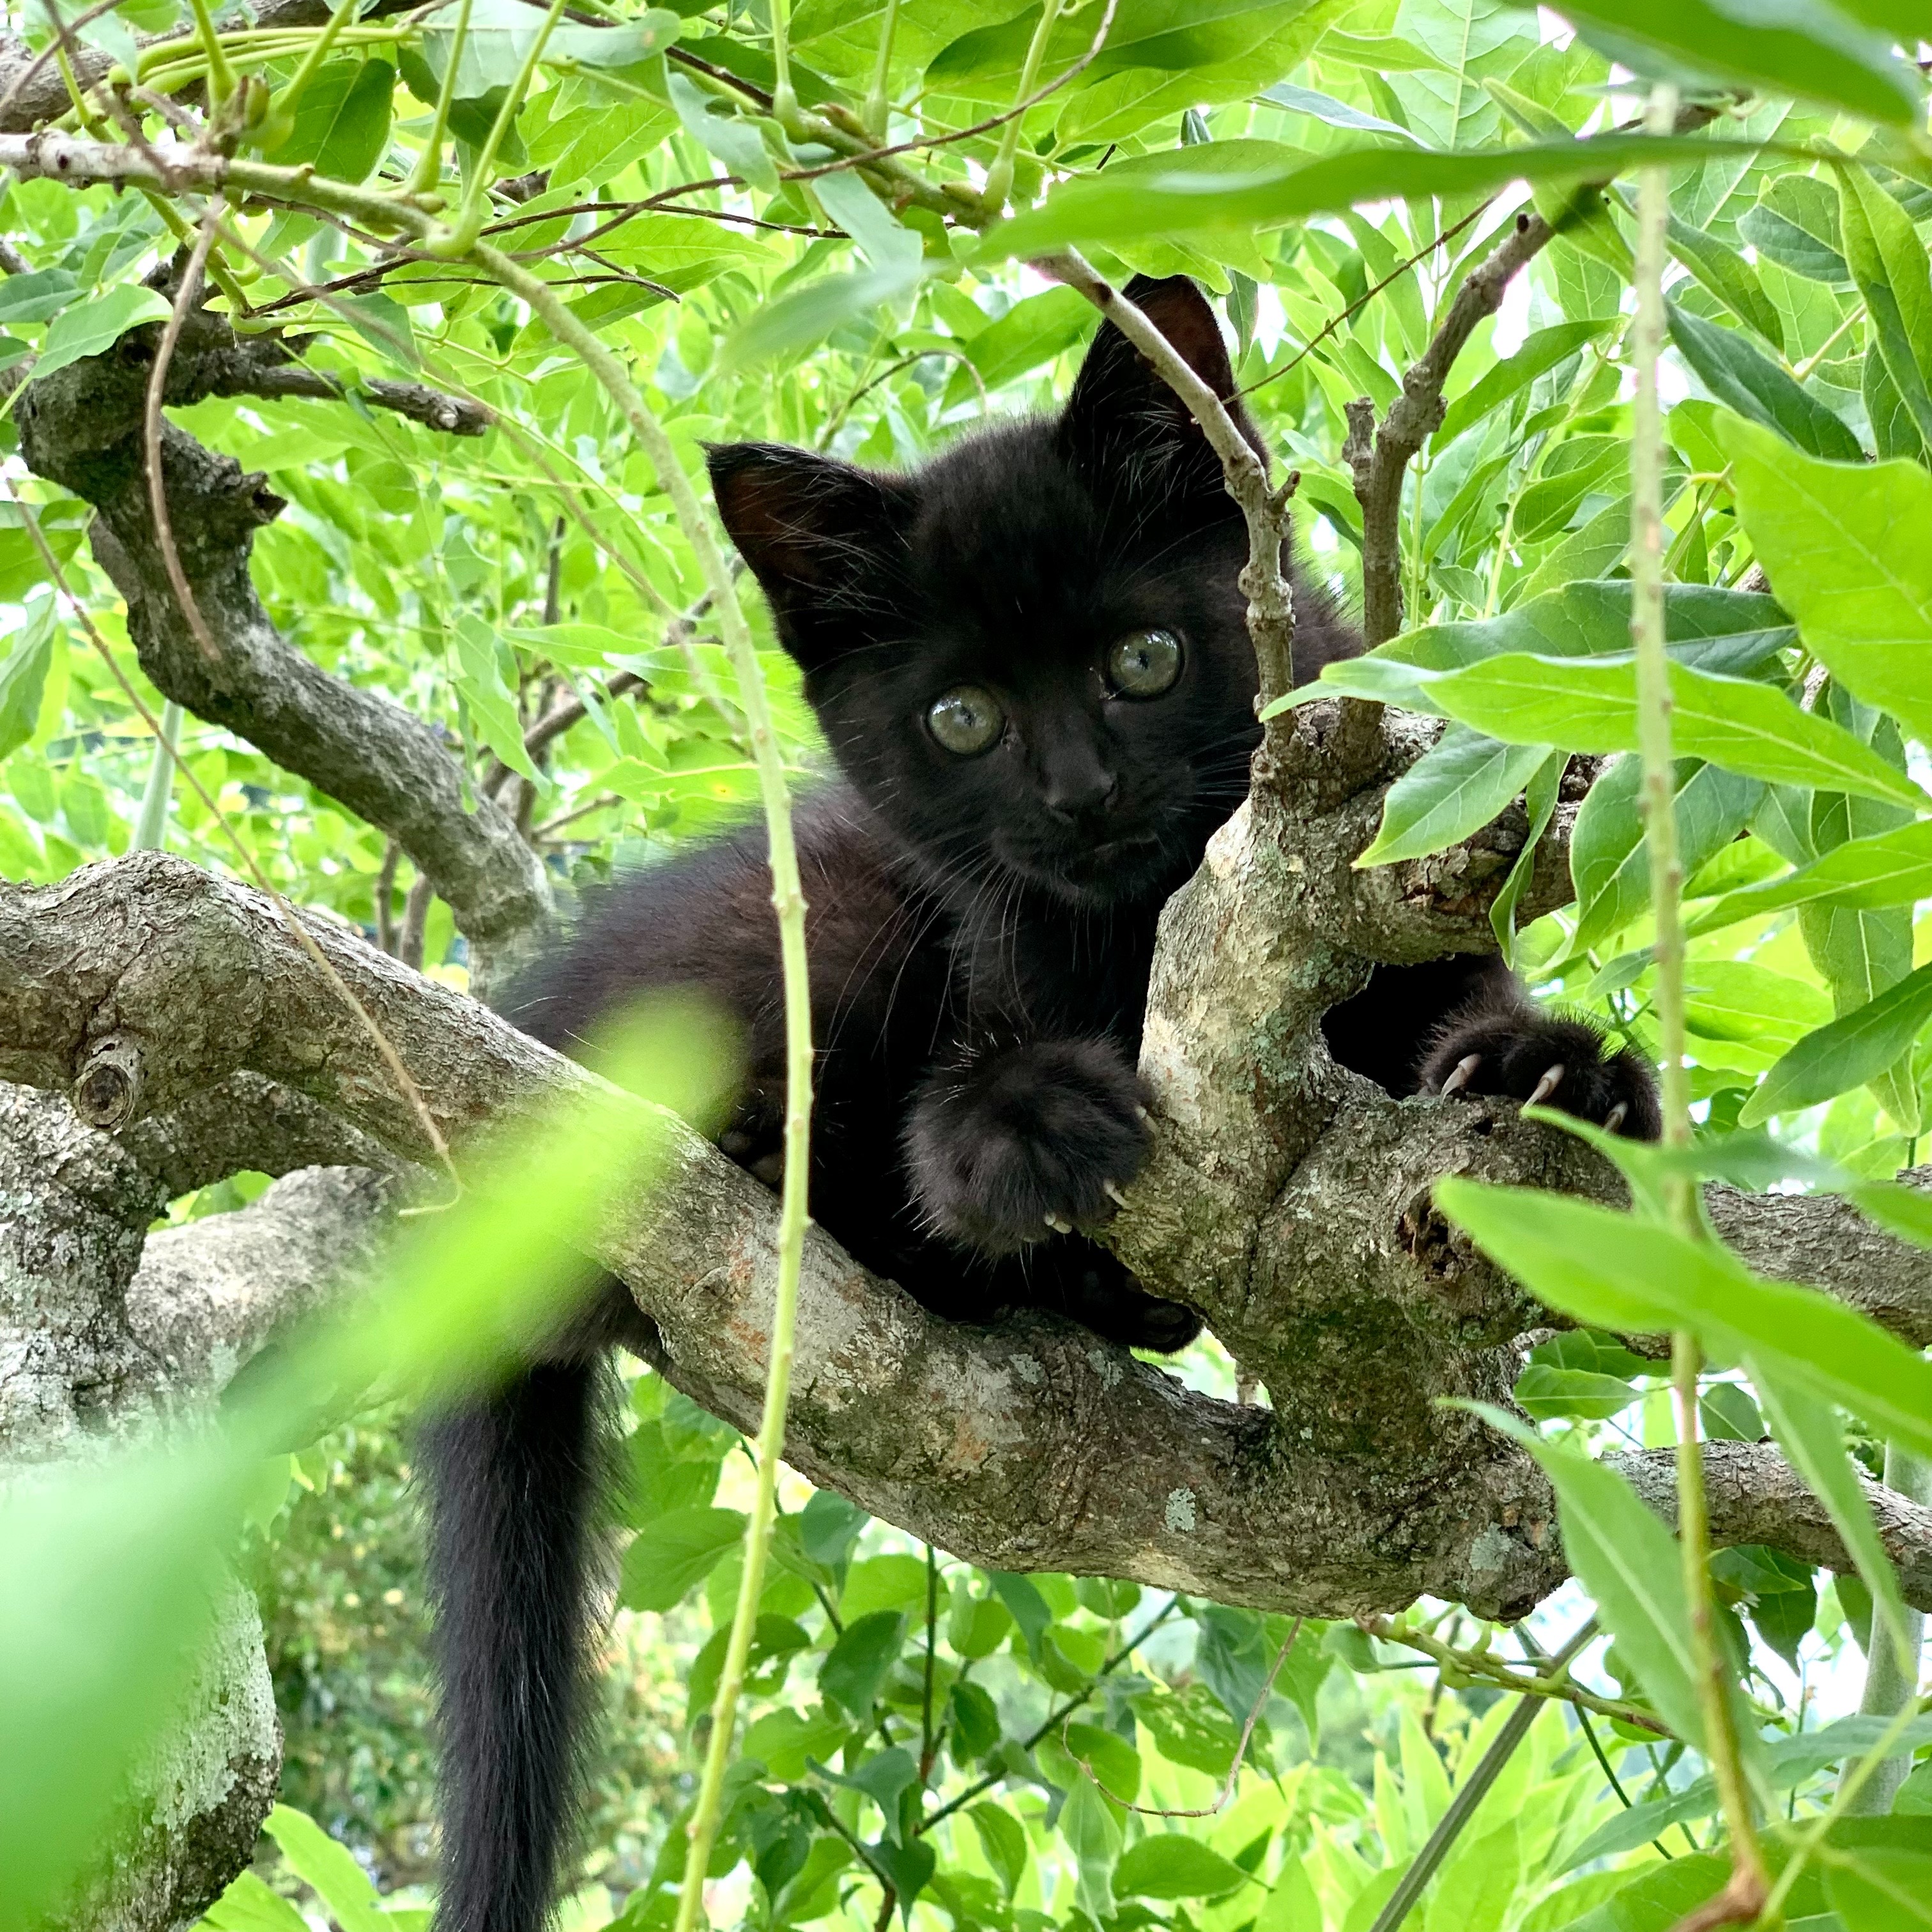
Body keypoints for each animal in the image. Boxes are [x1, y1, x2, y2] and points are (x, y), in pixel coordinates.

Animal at [422, 274, 1659, 1932]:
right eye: (961, 719)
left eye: (1144, 660)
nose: (1081, 794)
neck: (1144, 915)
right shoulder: (975, 931)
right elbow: (976, 1078)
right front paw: (1019, 1126)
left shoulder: (1399, 861)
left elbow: (1448, 1010)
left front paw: (1545, 1070)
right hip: (821, 915)